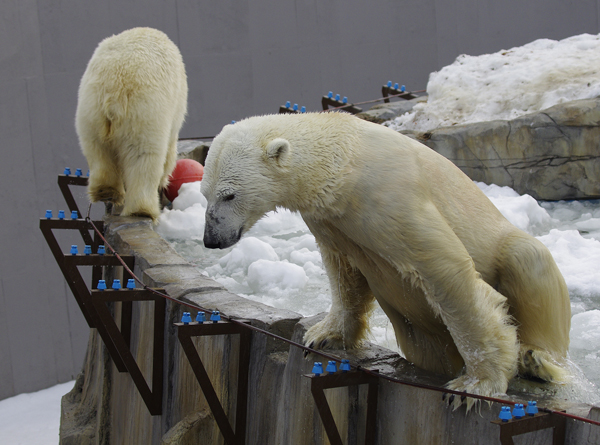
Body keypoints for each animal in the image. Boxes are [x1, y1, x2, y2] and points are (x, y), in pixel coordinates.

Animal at [75, 26, 188, 219]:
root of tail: (113, 92)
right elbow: (169, 151)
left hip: (90, 113)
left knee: (97, 151)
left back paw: (107, 192)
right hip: (143, 114)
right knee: (143, 157)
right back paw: (142, 210)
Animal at [202, 112, 572, 410]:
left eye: (229, 194)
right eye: (206, 194)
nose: (211, 239)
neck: (344, 161)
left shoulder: (390, 197)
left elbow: (445, 270)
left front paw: (473, 386)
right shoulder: (331, 219)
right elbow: (344, 270)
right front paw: (323, 336)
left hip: (505, 244)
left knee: (529, 262)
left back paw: (537, 362)